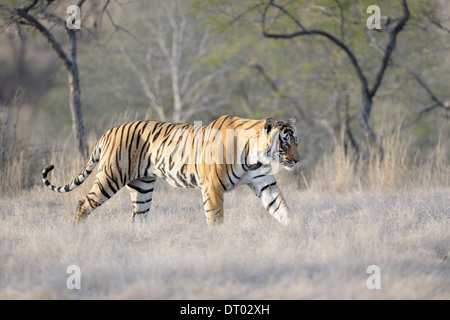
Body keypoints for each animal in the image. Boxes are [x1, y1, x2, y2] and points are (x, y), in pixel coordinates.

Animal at [42, 115, 300, 225]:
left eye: (297, 141)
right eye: (285, 143)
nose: (298, 160)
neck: (255, 155)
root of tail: (110, 130)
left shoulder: (265, 183)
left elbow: (283, 209)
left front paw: (296, 233)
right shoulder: (213, 187)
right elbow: (216, 217)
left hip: (142, 186)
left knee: (138, 217)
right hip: (110, 176)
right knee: (83, 203)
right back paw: (78, 233)